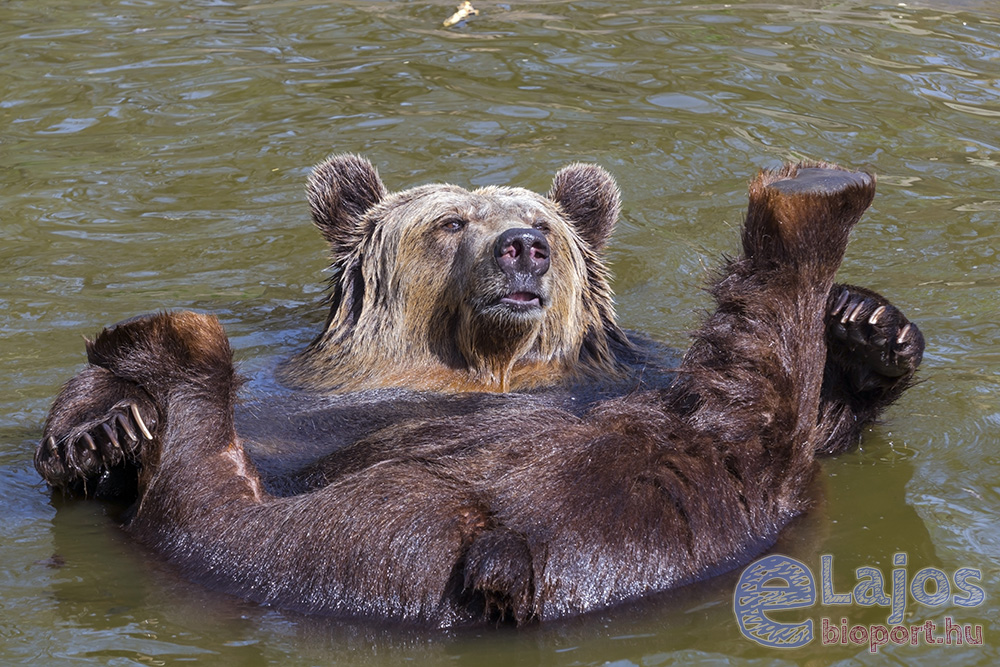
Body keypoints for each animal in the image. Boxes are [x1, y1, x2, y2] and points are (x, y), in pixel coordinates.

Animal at [33, 160, 920, 628]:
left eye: (543, 221)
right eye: (452, 221)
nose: (522, 247)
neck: (476, 370)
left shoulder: (630, 372)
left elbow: (827, 427)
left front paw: (871, 324)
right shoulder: (304, 408)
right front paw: (101, 428)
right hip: (313, 547)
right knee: (196, 499)